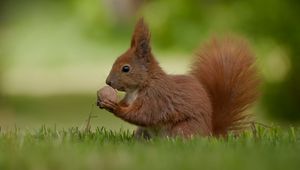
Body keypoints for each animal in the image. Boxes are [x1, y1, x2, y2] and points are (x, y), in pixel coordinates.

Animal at [97, 18, 258, 138]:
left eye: (126, 68)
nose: (108, 82)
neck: (138, 88)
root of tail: (209, 134)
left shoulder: (156, 98)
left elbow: (143, 115)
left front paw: (115, 107)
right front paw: (103, 101)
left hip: (182, 129)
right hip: (144, 133)